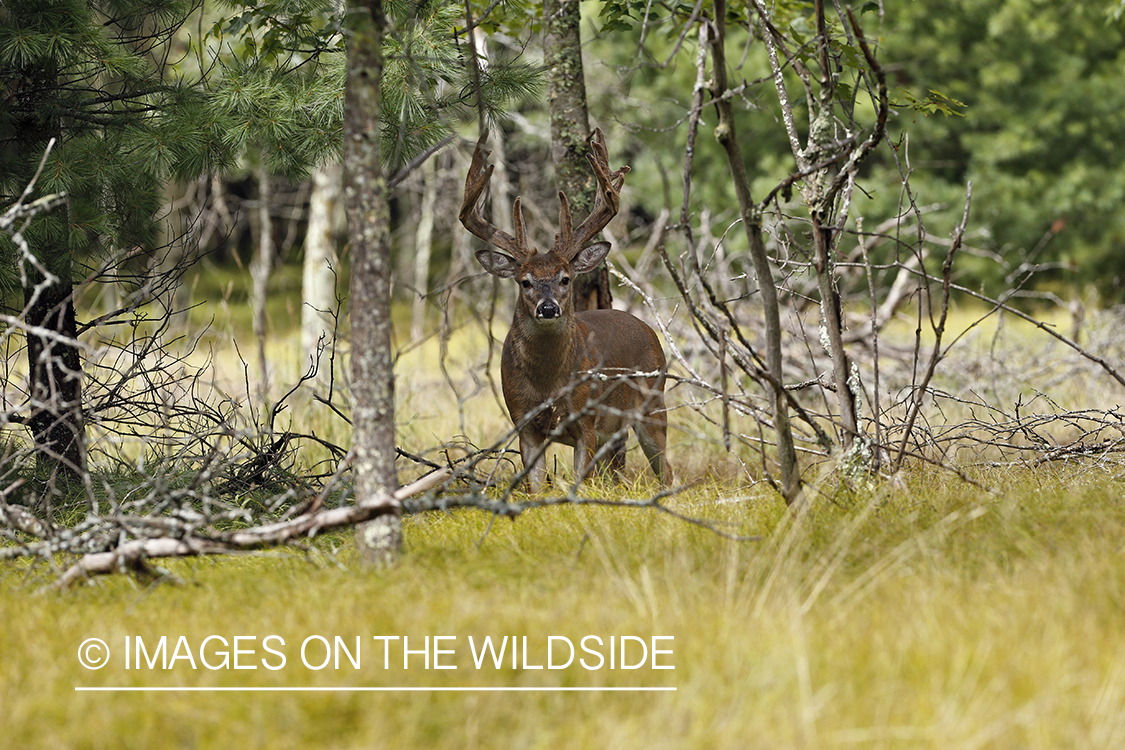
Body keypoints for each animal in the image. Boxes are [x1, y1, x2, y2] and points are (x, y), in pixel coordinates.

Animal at [461, 129, 670, 492]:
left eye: (565, 278)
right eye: (525, 281)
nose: (548, 308)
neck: (548, 384)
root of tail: (647, 329)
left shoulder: (586, 419)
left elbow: (580, 483)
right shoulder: (522, 419)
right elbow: (535, 486)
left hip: (653, 400)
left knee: (666, 469)